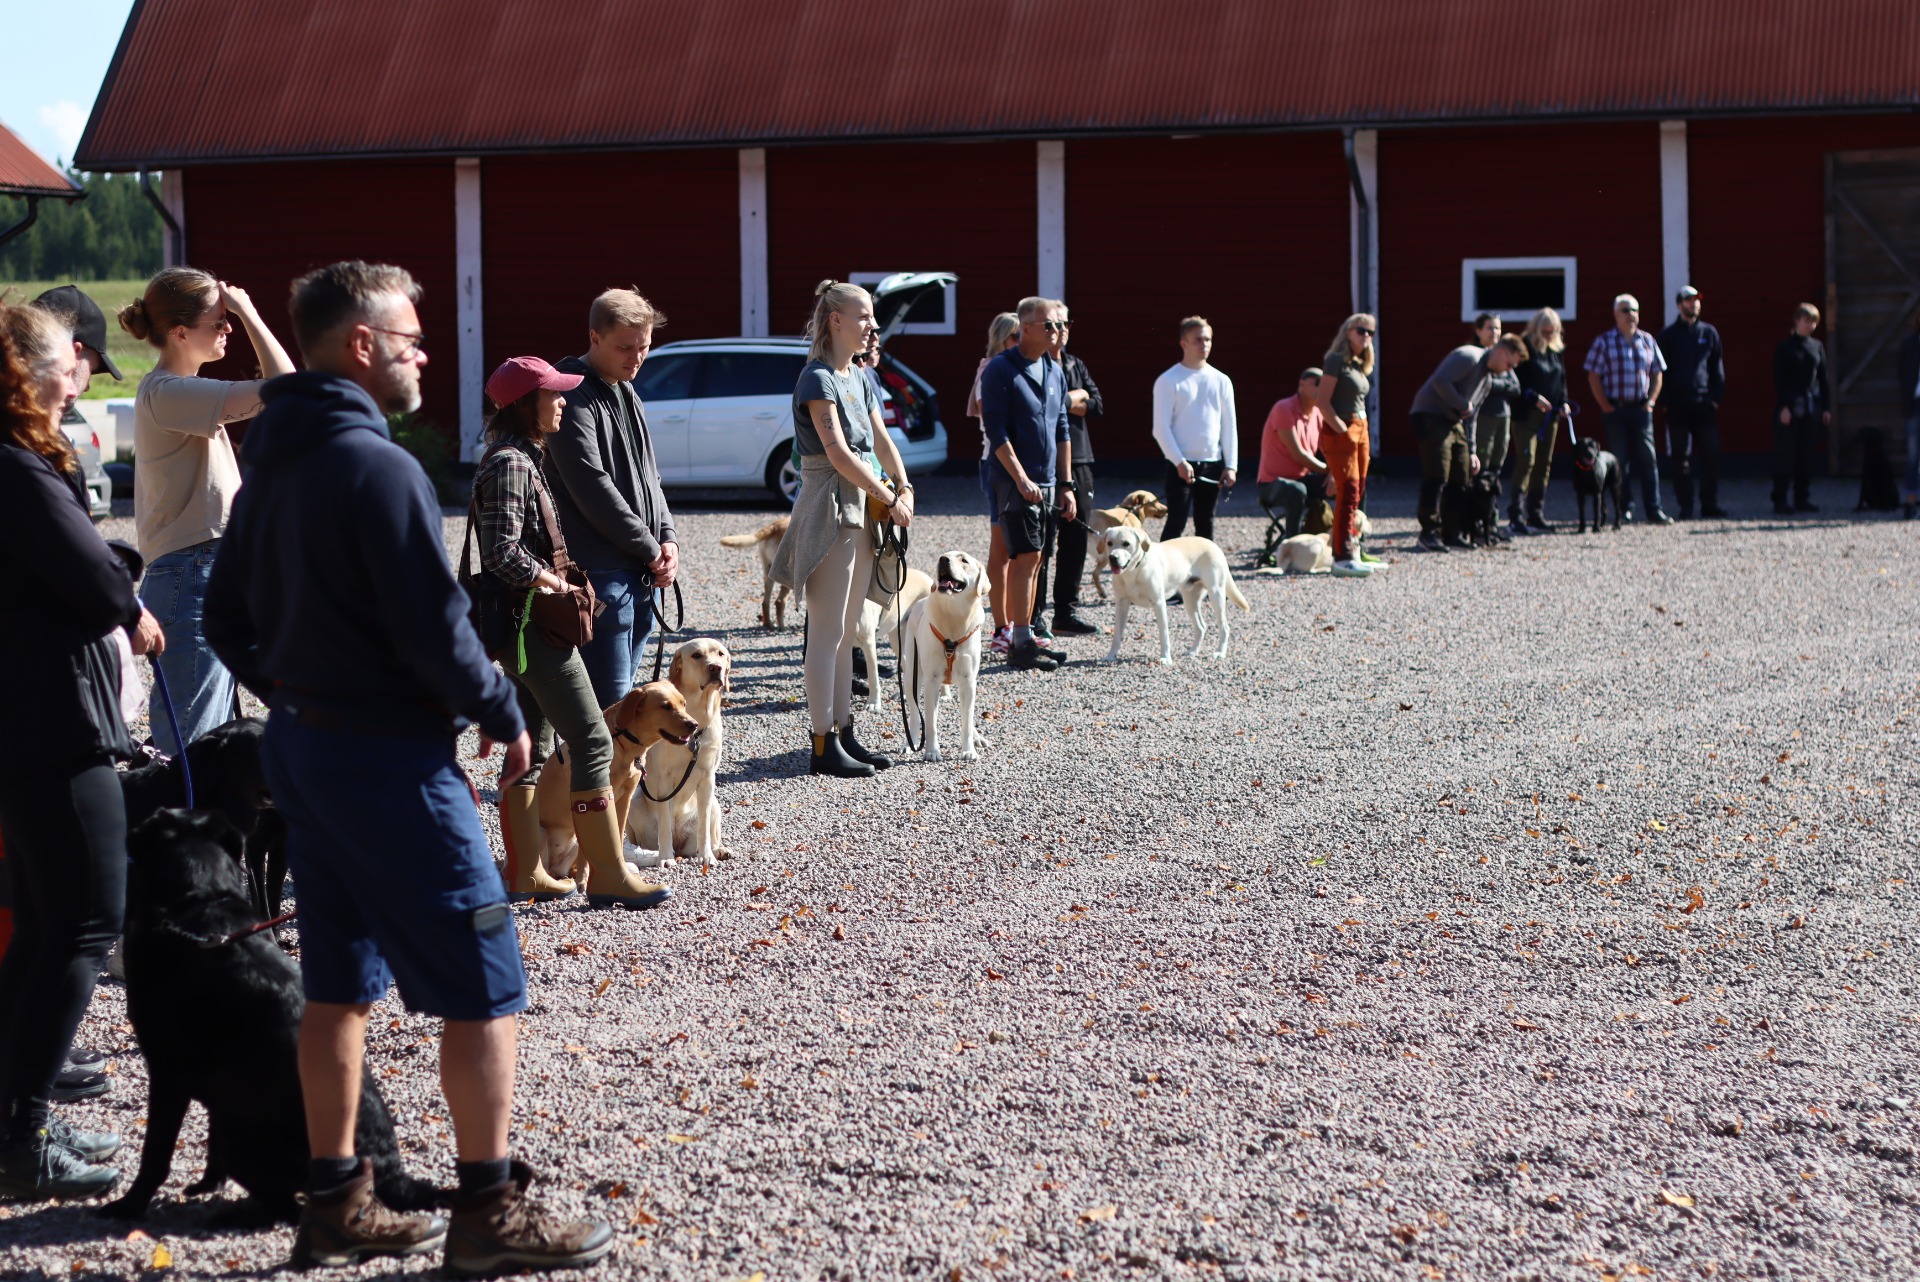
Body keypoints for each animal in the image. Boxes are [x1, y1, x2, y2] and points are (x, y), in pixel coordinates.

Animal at [103, 809, 446, 1224]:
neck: (198, 905)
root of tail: (394, 1176)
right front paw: (207, 1184)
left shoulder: (168, 1072)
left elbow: (155, 1155)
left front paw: (129, 1205)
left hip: (243, 1141)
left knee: (297, 1209)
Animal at [535, 682, 698, 885]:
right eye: (666, 706)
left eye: (684, 704)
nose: (694, 725)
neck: (625, 745)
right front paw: (584, 879)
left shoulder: (623, 801)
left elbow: (618, 839)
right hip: (541, 833)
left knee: (561, 868)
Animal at [635, 638, 732, 869]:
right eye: (696, 655)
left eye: (721, 654)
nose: (716, 668)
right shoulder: (664, 780)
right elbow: (664, 825)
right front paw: (665, 858)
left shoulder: (707, 778)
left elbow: (704, 828)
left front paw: (707, 856)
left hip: (715, 804)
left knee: (711, 831)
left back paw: (719, 849)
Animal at [903, 551, 991, 762]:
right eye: (943, 556)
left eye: (964, 560)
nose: (943, 559)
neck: (954, 616)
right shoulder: (931, 680)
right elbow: (931, 723)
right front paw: (932, 752)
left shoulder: (969, 681)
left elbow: (966, 720)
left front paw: (969, 750)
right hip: (912, 675)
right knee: (915, 715)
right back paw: (910, 743)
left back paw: (977, 737)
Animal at [1098, 527, 1250, 665]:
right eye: (1109, 543)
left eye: (1126, 543)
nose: (1113, 557)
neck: (1133, 571)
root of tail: (1213, 544)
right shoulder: (1121, 604)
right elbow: (1117, 635)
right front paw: (1110, 656)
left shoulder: (1159, 604)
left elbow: (1164, 634)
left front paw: (1165, 658)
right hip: (1190, 600)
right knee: (1201, 627)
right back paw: (1193, 651)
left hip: (1216, 595)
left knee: (1224, 627)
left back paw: (1220, 652)